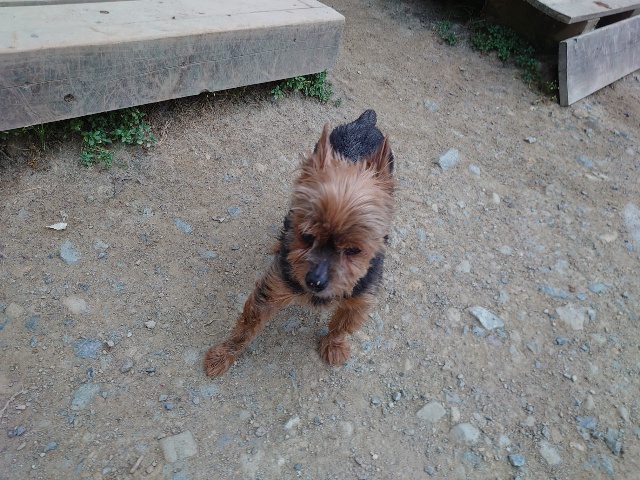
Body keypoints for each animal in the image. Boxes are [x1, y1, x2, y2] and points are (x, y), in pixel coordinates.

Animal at [204, 110, 395, 377]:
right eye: (306, 236)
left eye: (354, 250)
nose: (314, 281)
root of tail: (365, 122)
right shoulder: (275, 286)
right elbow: (247, 324)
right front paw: (222, 355)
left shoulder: (360, 298)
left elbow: (342, 325)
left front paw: (334, 345)